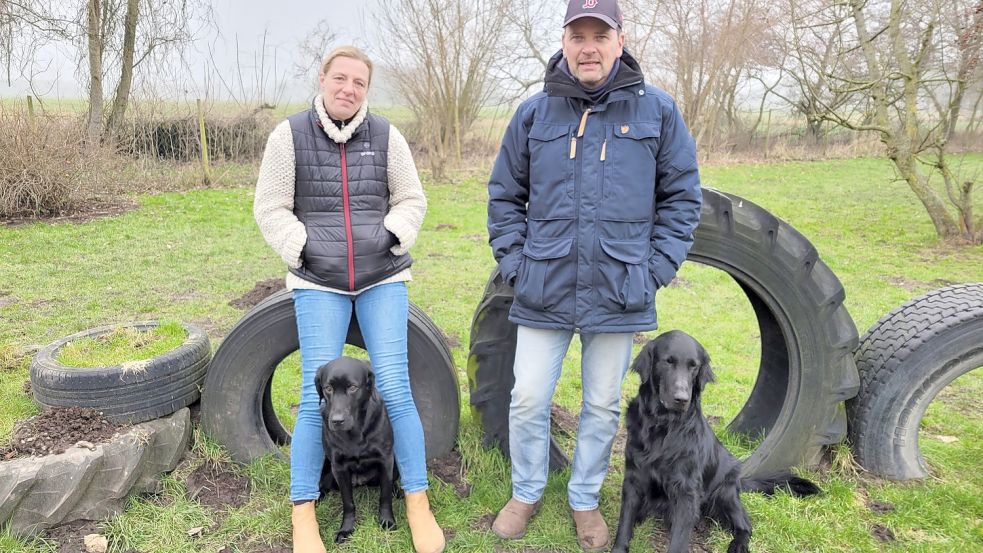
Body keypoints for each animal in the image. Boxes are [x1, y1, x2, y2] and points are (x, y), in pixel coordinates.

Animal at [316, 356, 400, 540]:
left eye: (353, 388)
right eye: (328, 388)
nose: (337, 421)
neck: (354, 433)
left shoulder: (385, 460)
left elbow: (385, 496)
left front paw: (387, 521)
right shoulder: (339, 468)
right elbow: (348, 503)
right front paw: (346, 529)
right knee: (323, 486)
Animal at [612, 330, 820, 548]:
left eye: (693, 366)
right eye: (667, 361)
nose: (682, 399)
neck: (663, 425)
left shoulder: (686, 492)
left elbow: (679, 539)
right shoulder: (634, 478)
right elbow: (624, 523)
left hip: (725, 493)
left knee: (745, 525)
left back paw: (738, 545)